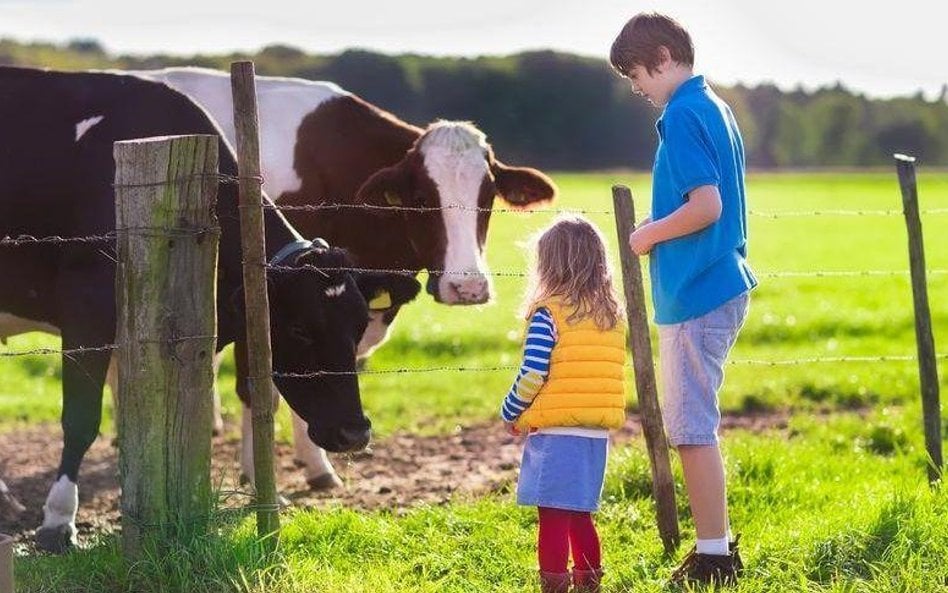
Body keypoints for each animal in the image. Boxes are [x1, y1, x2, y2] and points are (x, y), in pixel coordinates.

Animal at [0, 67, 418, 552]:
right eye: (298, 329)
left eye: (358, 325)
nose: (355, 432)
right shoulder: (87, 308)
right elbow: (82, 419)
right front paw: (58, 519)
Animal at [125, 67, 556, 488]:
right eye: (421, 199)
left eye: (488, 197)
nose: (467, 286)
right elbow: (260, 387)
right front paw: (260, 475)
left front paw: (317, 465)